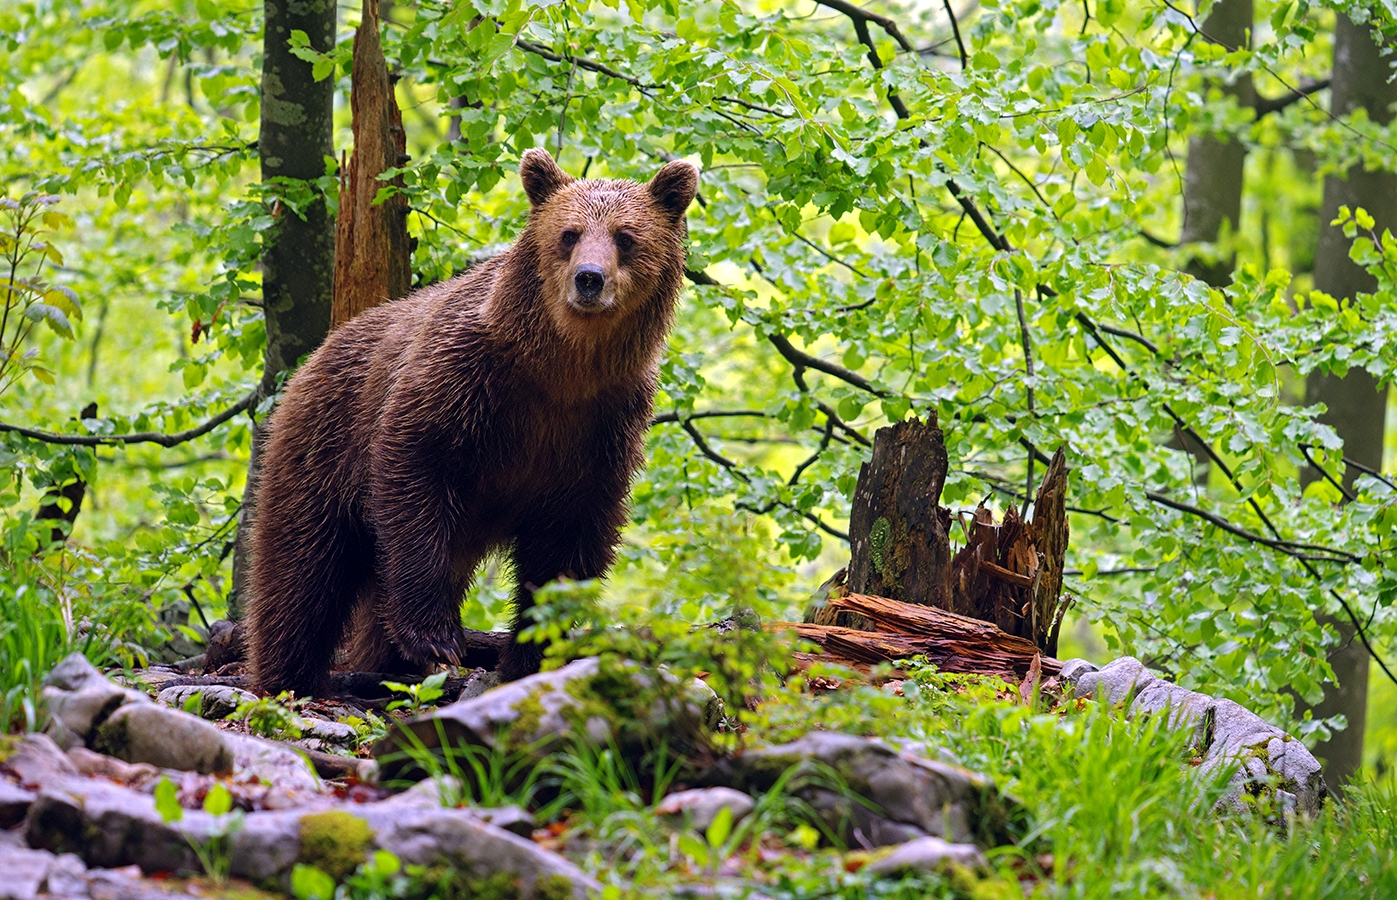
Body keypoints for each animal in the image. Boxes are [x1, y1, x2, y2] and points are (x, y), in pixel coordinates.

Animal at [246, 149, 699, 696]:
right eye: (568, 234)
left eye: (625, 237)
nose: (589, 278)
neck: (562, 367)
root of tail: (316, 354)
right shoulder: (463, 382)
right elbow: (415, 468)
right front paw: (435, 636)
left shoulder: (601, 425)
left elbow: (569, 539)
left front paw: (531, 651)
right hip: (324, 444)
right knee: (303, 567)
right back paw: (290, 675)